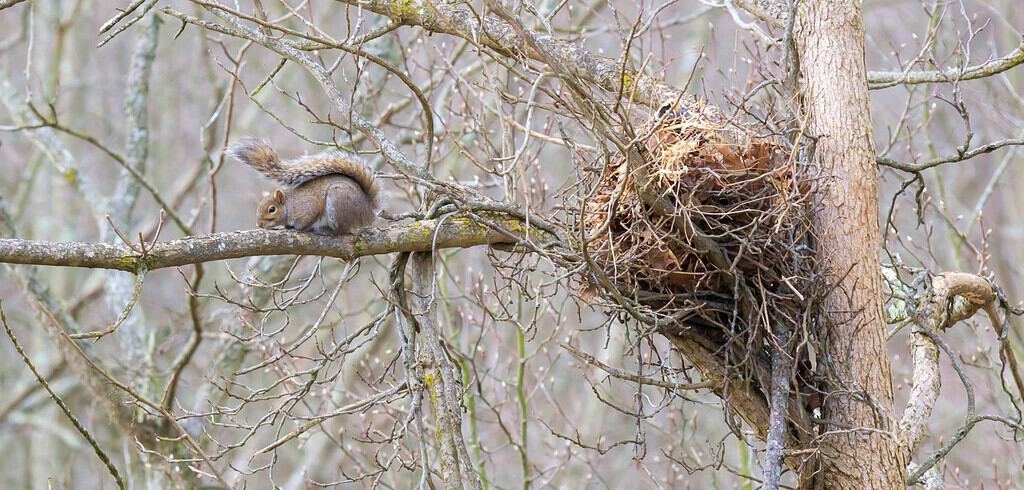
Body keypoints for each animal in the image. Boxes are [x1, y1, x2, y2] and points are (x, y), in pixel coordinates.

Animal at [227, 138, 379, 236]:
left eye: (272, 209)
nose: (259, 224)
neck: (290, 206)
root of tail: (368, 211)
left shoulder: (309, 208)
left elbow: (307, 220)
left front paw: (297, 228)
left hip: (337, 202)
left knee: (342, 230)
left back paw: (325, 231)